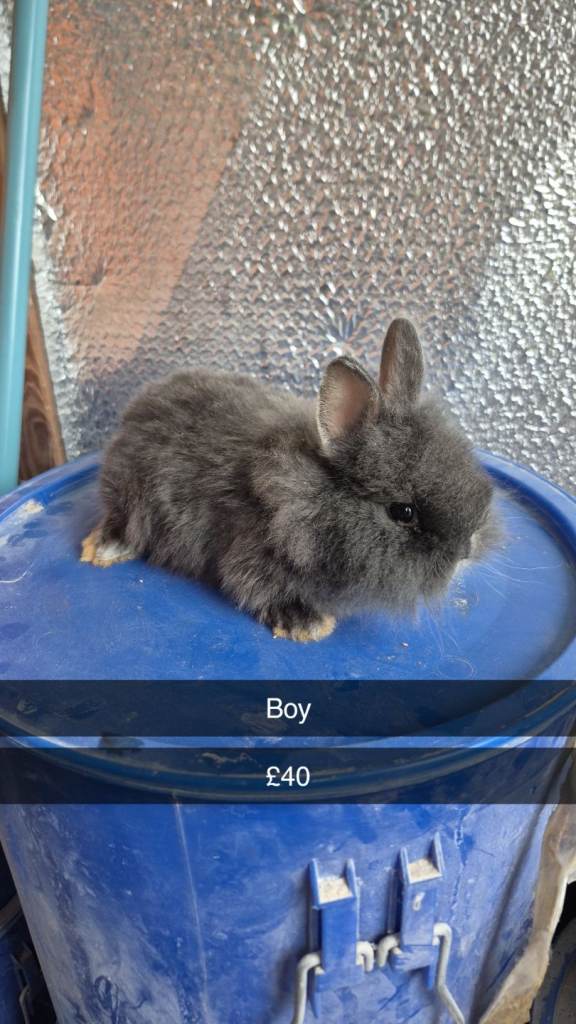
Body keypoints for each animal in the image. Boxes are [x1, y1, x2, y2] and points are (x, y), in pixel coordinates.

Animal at [81, 318, 497, 641]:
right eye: (403, 512)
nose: (466, 551)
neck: (310, 498)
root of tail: (134, 411)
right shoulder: (252, 556)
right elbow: (256, 588)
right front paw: (309, 625)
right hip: (131, 495)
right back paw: (104, 550)